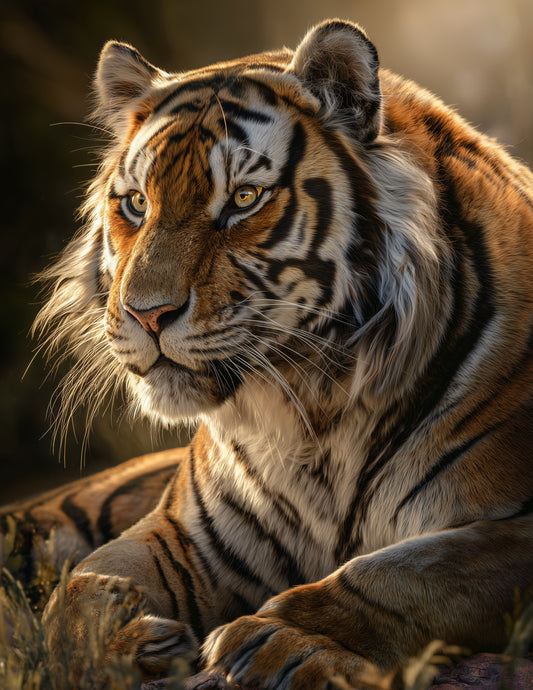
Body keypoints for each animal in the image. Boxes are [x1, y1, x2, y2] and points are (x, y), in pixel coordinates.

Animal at [2, 17, 533, 690]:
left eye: (244, 198)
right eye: (137, 204)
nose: (146, 313)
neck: (315, 412)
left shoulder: (509, 531)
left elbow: (405, 575)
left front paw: (283, 641)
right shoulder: (185, 534)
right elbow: (78, 591)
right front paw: (127, 642)